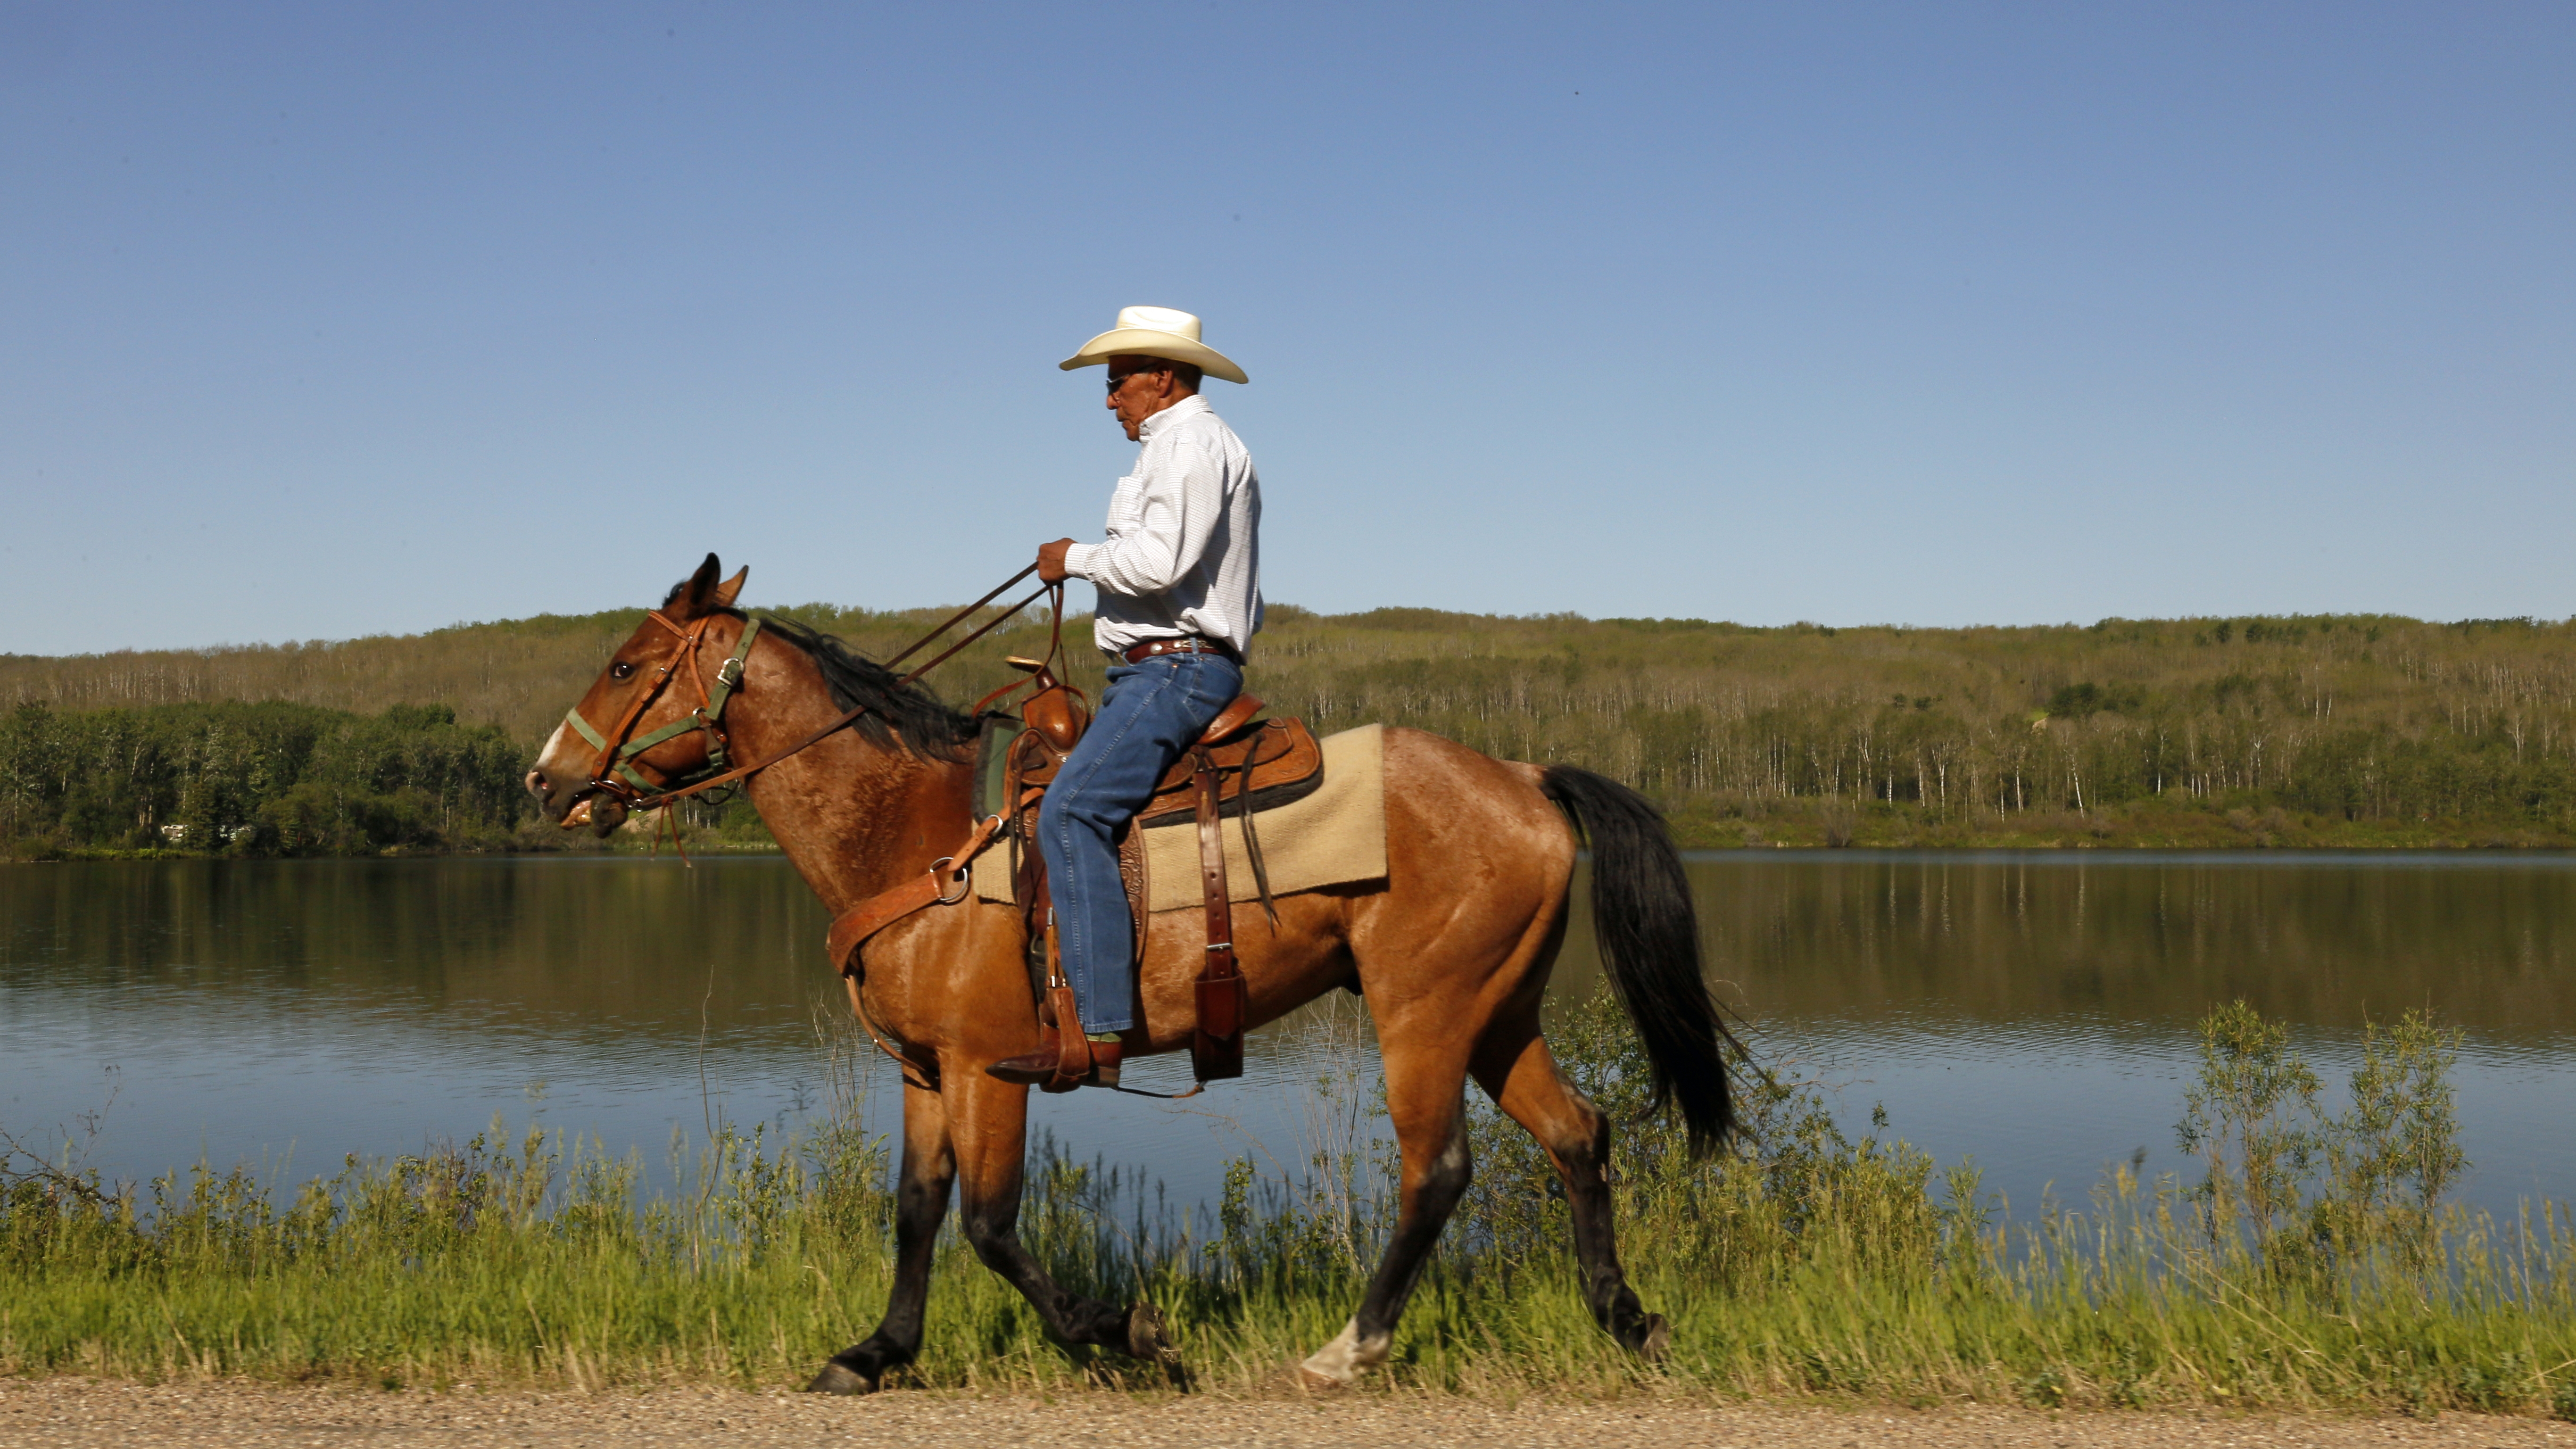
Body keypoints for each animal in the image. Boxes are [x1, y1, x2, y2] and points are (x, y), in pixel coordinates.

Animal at [522, 558, 1731, 1390]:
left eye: (627, 666)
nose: (544, 781)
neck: (919, 837)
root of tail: (1524, 775)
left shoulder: (988, 1071)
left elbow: (989, 1224)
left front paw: (1125, 1338)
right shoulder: (922, 1072)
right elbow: (916, 1209)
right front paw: (876, 1351)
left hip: (1423, 1017)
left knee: (1435, 1172)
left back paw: (1347, 1349)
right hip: (1495, 1013)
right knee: (1577, 1135)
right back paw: (1628, 1321)